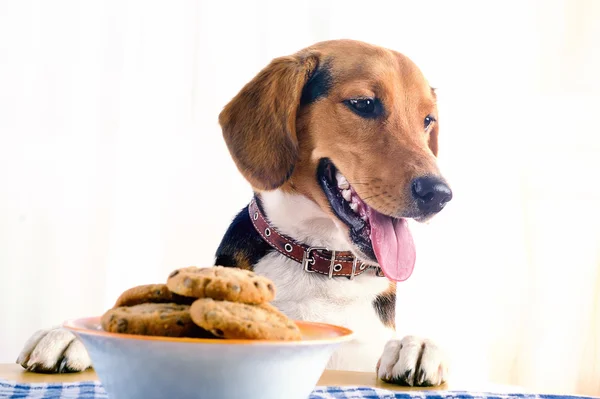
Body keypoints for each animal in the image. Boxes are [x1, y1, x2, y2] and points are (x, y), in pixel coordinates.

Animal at [16, 40, 450, 388]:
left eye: (427, 120)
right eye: (364, 104)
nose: (439, 194)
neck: (318, 261)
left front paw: (417, 346)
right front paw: (68, 336)